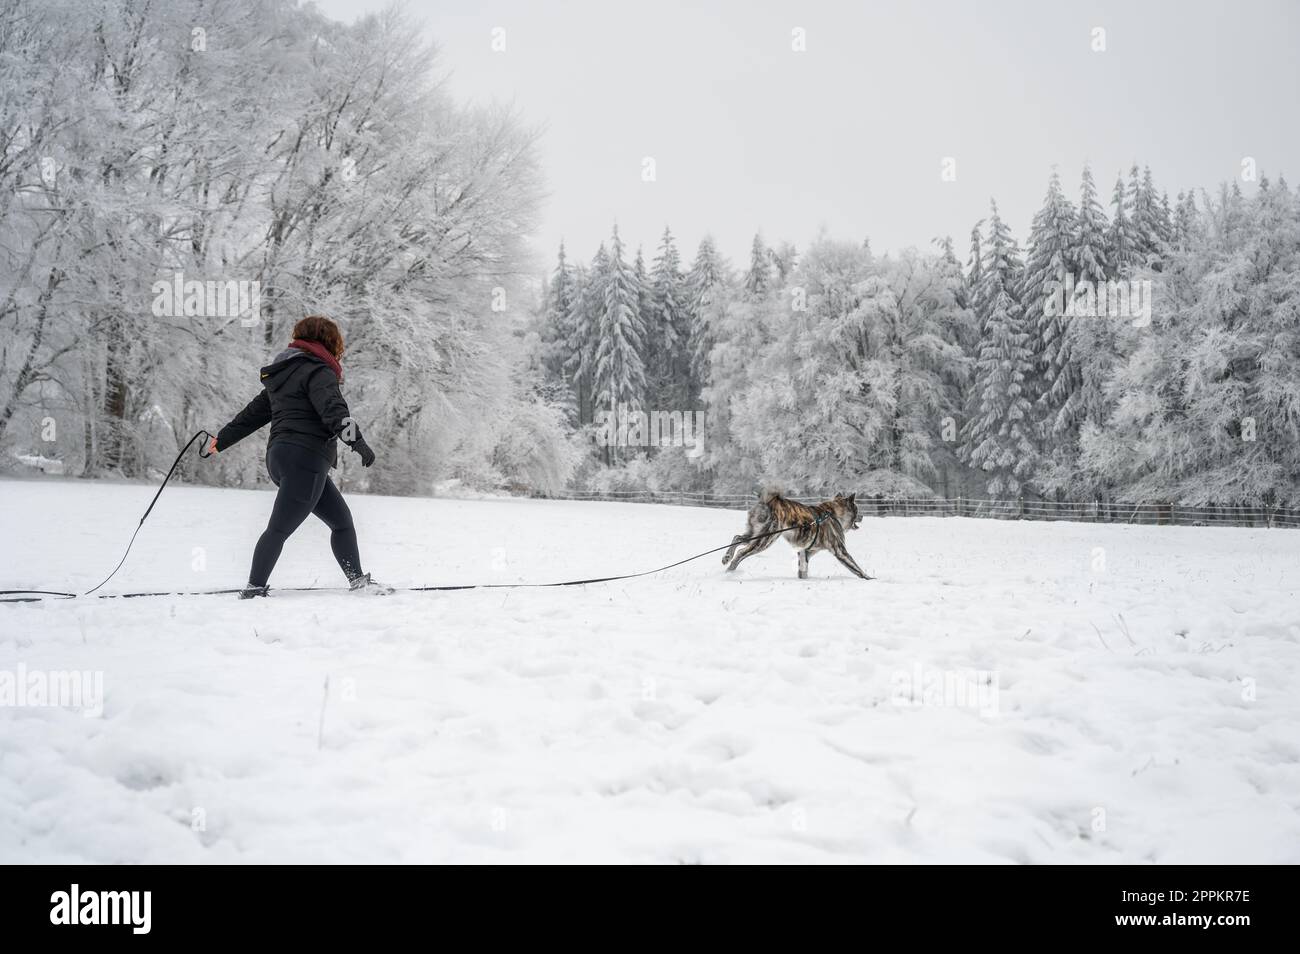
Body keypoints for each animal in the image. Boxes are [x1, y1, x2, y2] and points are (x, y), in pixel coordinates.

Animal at [722, 488, 873, 579]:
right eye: (857, 509)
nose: (862, 516)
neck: (833, 514)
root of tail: (768, 502)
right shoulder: (840, 551)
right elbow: (856, 568)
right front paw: (870, 578)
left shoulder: (805, 552)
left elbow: (803, 570)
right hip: (765, 538)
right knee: (741, 552)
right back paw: (731, 567)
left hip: (755, 533)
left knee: (737, 538)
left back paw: (727, 557)